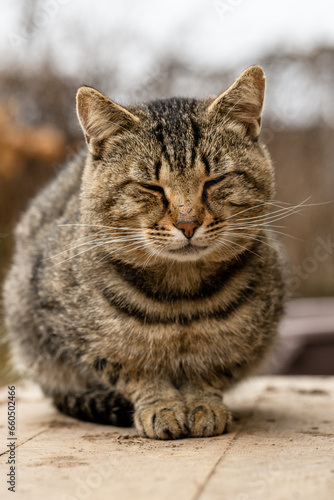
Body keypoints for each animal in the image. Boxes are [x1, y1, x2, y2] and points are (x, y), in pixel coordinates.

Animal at [2, 65, 284, 438]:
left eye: (214, 181)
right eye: (151, 187)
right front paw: (161, 405)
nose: (188, 223)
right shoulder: (88, 342)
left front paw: (203, 404)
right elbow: (138, 372)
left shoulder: (242, 347)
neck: (182, 298)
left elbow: (209, 371)